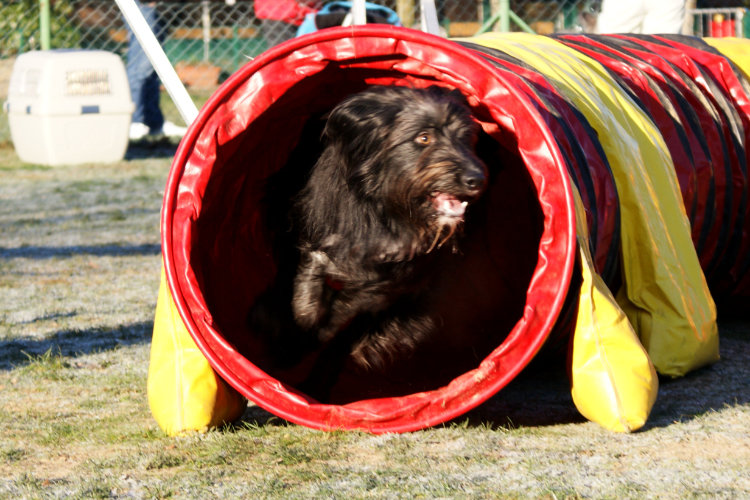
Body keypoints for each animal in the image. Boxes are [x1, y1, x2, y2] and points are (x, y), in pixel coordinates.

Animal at [250, 84, 490, 400]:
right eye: (423, 137)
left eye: (465, 138)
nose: (477, 179)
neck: (387, 213)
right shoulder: (309, 226)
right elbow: (307, 278)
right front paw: (296, 328)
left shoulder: (392, 286)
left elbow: (346, 318)